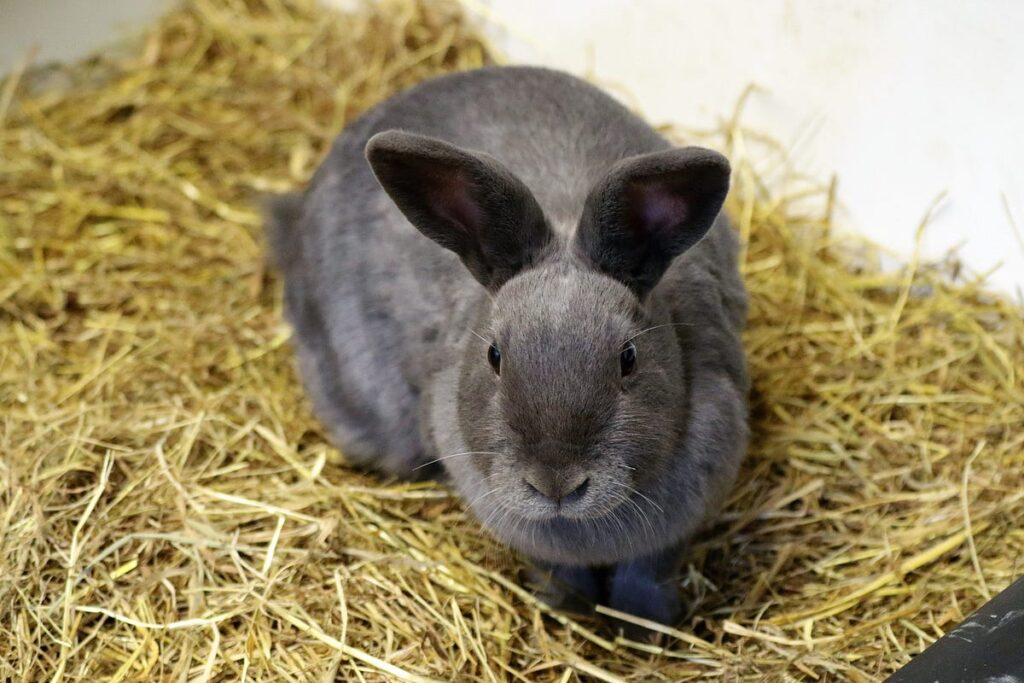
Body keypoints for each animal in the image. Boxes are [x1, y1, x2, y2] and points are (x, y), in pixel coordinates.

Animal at [268, 66, 749, 634]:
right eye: (494, 357)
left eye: (628, 358)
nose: (556, 483)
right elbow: (558, 568)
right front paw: (566, 608)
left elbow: (646, 572)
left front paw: (646, 628)